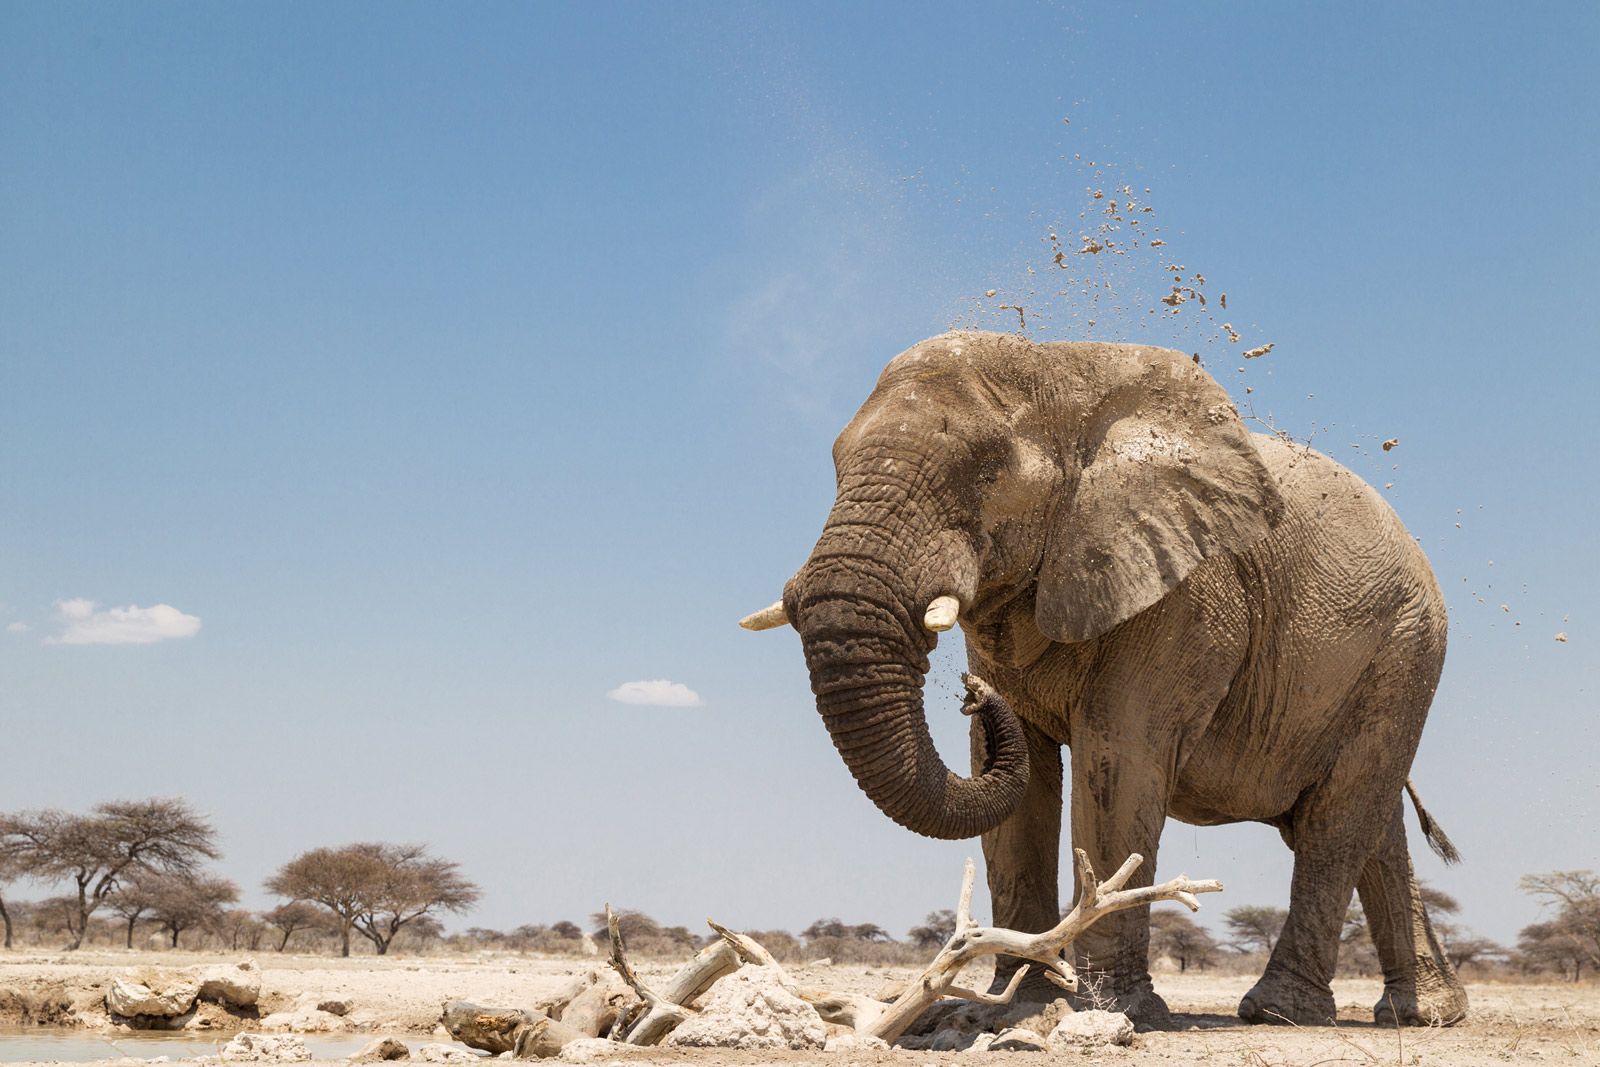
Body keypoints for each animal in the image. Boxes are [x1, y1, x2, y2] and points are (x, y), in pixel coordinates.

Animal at [742, 331, 1465, 1023]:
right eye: (835, 462)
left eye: (987, 469)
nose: (972, 695)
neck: (1060, 373)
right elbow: (1020, 782)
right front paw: (1013, 1002)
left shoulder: (1183, 595)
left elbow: (1119, 759)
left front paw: (1112, 1011)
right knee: (1374, 829)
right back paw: (1424, 1014)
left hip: (1406, 648)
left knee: (1333, 823)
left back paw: (1279, 1012)